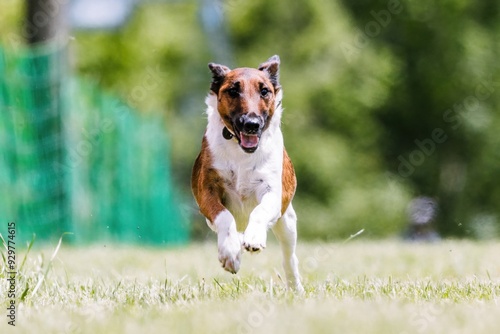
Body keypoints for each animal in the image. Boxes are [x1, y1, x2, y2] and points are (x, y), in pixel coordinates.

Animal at [190, 56, 302, 290]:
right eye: (233, 90)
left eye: (265, 91)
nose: (251, 124)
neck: (241, 152)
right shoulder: (207, 190)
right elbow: (224, 216)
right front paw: (230, 254)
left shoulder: (272, 192)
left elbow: (260, 211)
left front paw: (254, 238)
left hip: (287, 221)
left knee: (289, 257)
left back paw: (295, 287)